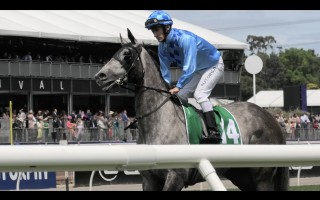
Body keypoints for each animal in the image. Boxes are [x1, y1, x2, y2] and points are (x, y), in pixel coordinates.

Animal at [95, 28, 290, 191]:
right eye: (113, 53)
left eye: (127, 55)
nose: (99, 76)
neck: (160, 119)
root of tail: (271, 118)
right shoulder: (149, 181)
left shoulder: (176, 177)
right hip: (241, 175)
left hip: (262, 176)